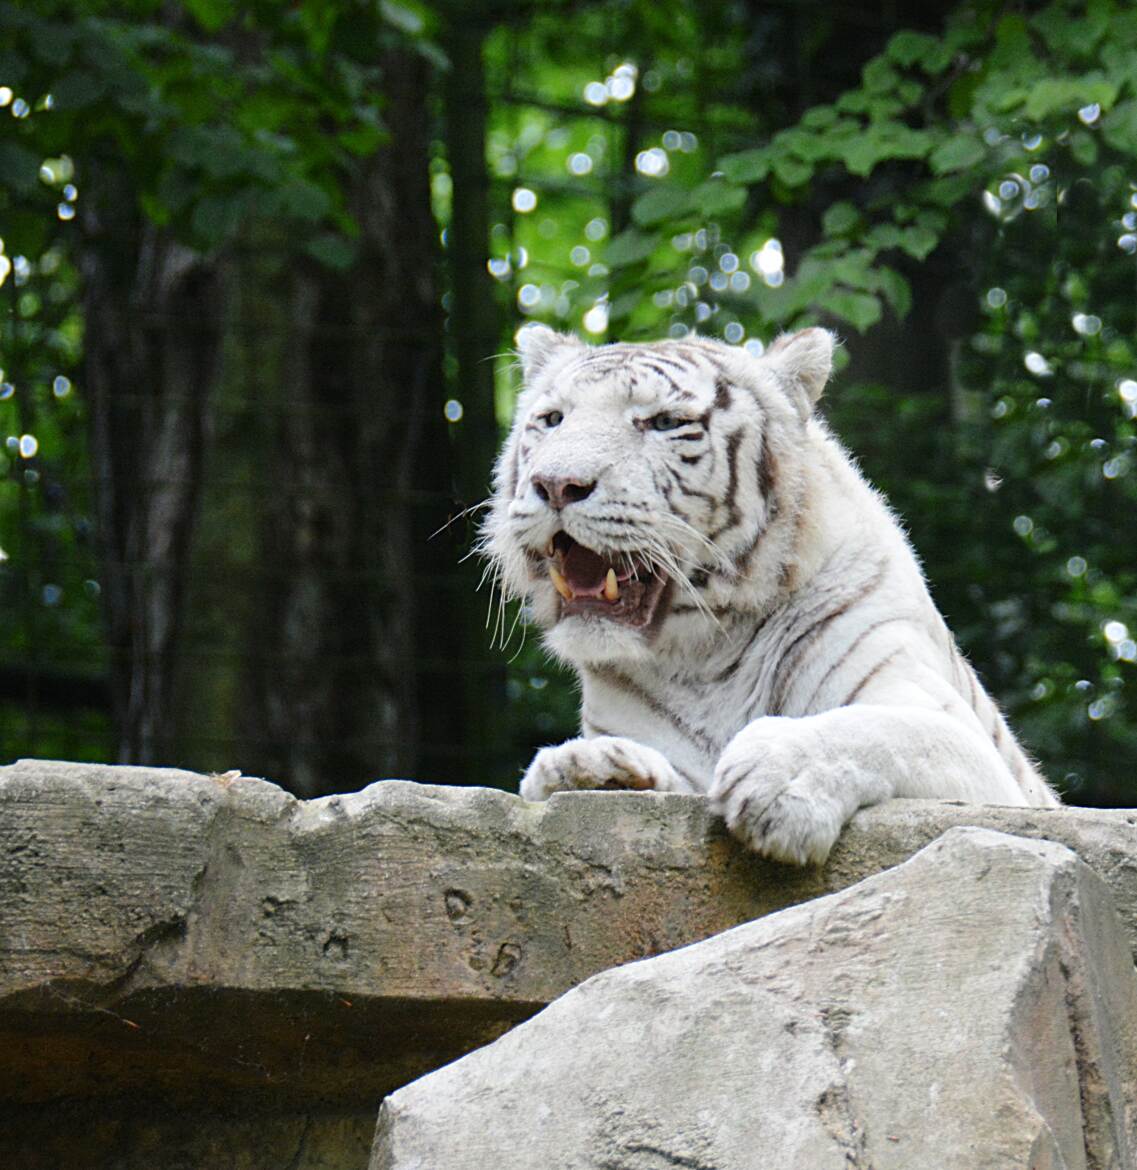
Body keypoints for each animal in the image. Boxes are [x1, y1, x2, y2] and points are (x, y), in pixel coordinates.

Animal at [483, 323, 1059, 865]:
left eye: (665, 423)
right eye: (553, 419)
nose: (556, 485)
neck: (704, 657)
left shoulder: (974, 756)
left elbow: (883, 730)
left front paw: (782, 778)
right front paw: (587, 767)